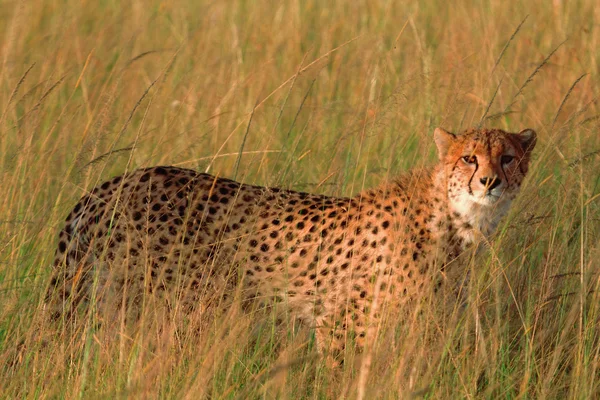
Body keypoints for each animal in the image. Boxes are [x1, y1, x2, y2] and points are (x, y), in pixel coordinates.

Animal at [47, 126, 536, 360]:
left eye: (508, 158)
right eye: (469, 158)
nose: (488, 181)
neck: (455, 220)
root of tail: (115, 182)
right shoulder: (339, 324)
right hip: (152, 307)